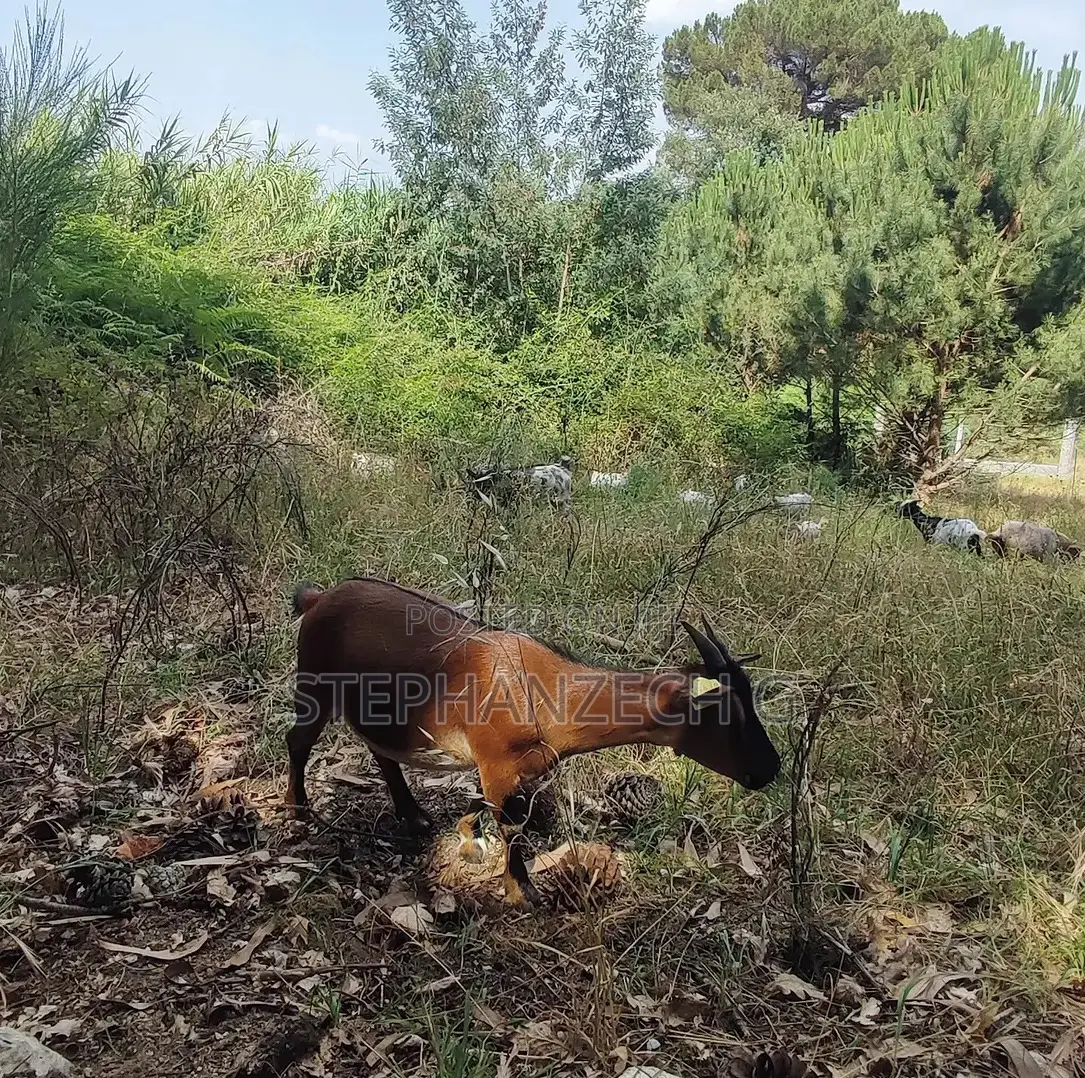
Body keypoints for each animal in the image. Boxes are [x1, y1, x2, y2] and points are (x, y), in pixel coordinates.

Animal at [285, 576, 780, 906]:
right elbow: (512, 828)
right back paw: (298, 809)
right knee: (298, 739)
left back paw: (413, 814)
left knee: (380, 750)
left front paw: (472, 841)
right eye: (727, 716)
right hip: (314, 687)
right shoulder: (496, 766)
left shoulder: (517, 771)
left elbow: (497, 814)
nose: (770, 769)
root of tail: (318, 599)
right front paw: (521, 890)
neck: (546, 691)